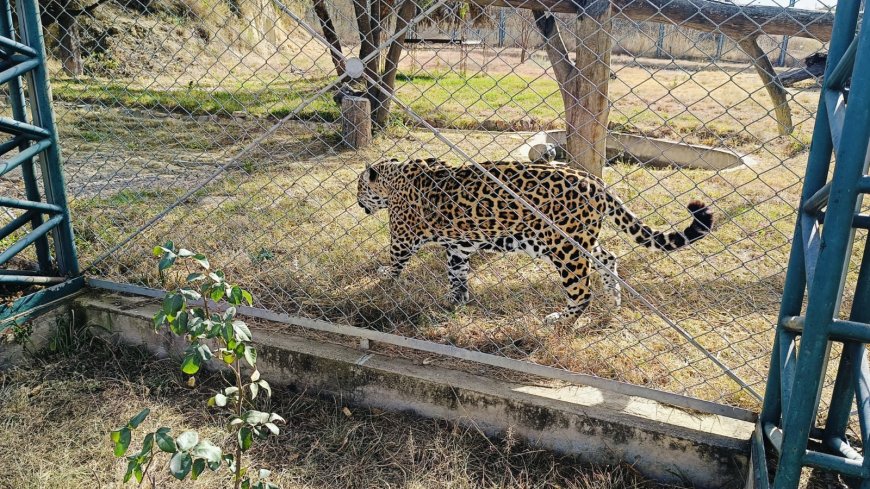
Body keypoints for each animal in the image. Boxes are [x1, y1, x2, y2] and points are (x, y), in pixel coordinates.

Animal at [357, 158, 714, 324]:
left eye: (360, 187)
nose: (359, 203)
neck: (393, 179)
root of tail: (597, 182)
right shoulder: (458, 246)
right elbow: (456, 274)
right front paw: (456, 302)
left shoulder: (403, 237)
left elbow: (395, 261)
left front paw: (384, 276)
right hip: (583, 238)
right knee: (609, 258)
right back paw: (614, 301)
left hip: (565, 247)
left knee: (582, 292)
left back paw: (560, 321)